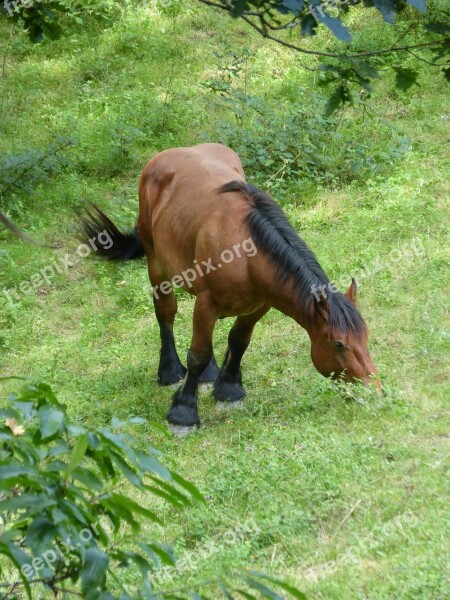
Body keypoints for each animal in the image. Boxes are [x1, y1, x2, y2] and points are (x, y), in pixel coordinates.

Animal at [79, 141, 382, 432]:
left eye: (365, 337)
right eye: (338, 344)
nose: (375, 390)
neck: (247, 253)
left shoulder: (258, 306)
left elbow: (238, 341)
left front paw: (229, 388)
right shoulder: (207, 302)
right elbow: (197, 355)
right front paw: (183, 412)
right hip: (156, 264)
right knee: (165, 312)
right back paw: (169, 370)